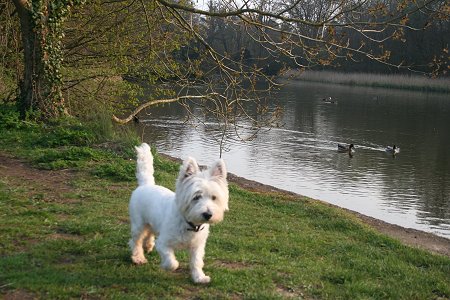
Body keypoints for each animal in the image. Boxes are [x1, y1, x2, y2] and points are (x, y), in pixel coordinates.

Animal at [129, 143, 229, 284]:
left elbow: (196, 262)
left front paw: (199, 277)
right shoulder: (164, 243)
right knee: (136, 241)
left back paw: (148, 245)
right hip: (139, 224)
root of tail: (146, 185)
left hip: (151, 222)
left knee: (149, 233)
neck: (190, 224)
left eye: (214, 197)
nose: (208, 214)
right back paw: (138, 257)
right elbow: (172, 262)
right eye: (196, 197)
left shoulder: (197, 246)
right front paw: (168, 266)